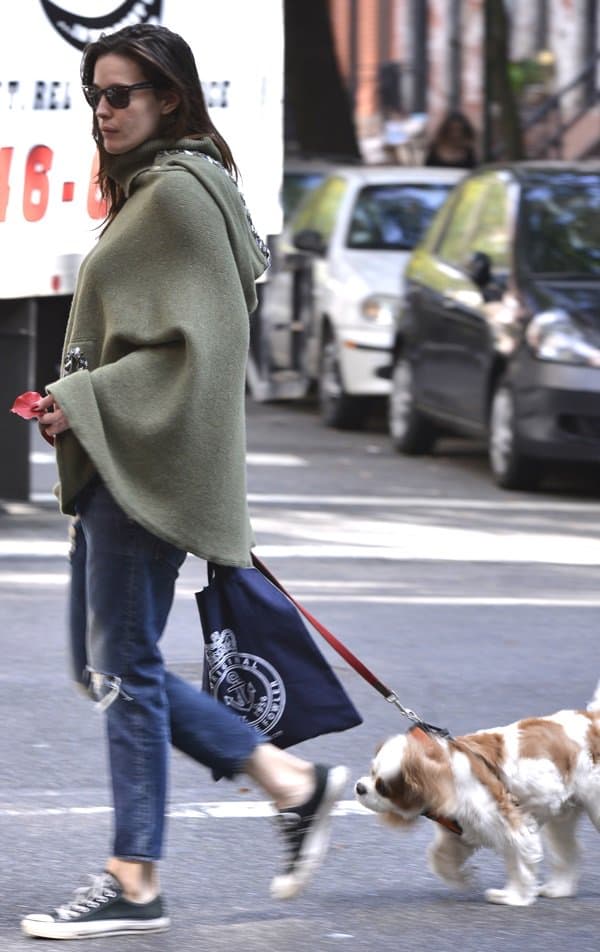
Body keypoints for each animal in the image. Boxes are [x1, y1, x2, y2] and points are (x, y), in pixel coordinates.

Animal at [356, 680, 600, 904]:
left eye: (383, 787)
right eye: (371, 771)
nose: (360, 787)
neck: (448, 774)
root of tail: (593, 720)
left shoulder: (510, 825)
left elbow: (520, 862)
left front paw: (514, 896)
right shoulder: (462, 830)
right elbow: (439, 858)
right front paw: (463, 879)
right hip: (563, 815)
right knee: (568, 849)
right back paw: (559, 889)